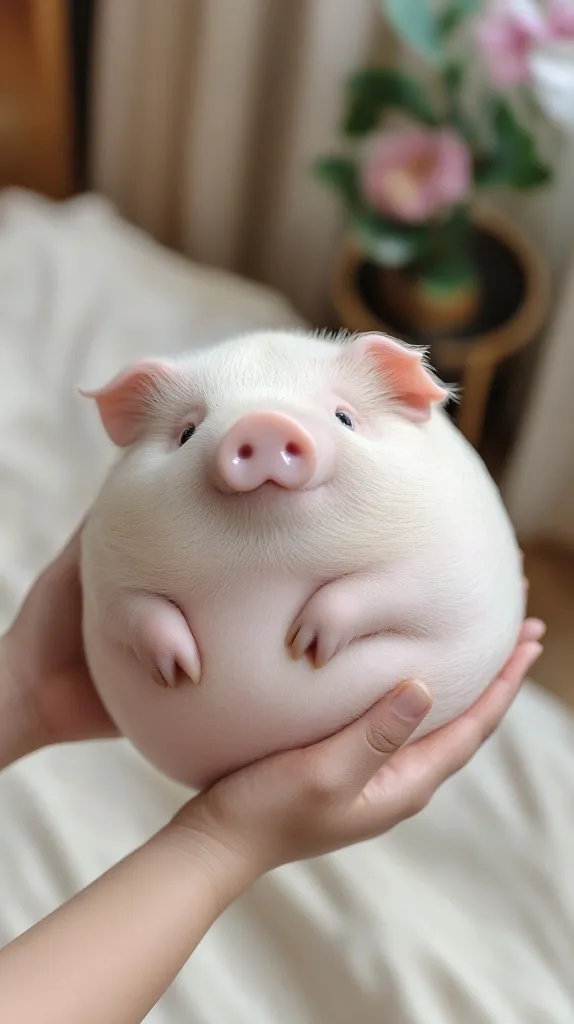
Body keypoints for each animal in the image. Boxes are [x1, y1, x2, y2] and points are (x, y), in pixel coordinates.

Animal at [79, 329, 524, 790]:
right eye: (187, 431)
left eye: (344, 417)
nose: (264, 422)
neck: (264, 567)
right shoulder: (101, 574)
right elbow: (135, 610)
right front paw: (183, 670)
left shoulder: (446, 568)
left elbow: (382, 589)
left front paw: (304, 647)